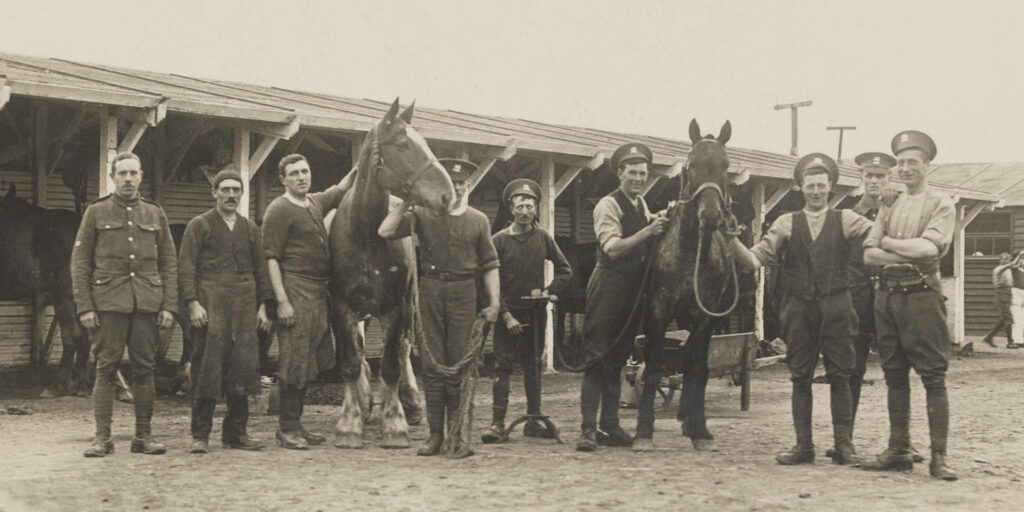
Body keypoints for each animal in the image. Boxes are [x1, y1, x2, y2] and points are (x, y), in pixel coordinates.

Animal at [329, 96, 454, 448]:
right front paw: (350, 422)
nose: (447, 195)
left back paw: (408, 403)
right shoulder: (341, 306)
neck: (364, 233)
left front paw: (395, 422)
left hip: (405, 305)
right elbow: (351, 361)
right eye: (403, 144)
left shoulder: (396, 306)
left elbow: (391, 365)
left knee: (401, 348)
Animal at [634, 119, 741, 452]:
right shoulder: (656, 313)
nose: (710, 215)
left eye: (726, 165)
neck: (690, 251)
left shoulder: (706, 318)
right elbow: (654, 368)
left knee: (691, 358)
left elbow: (698, 369)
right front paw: (643, 430)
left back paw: (687, 418)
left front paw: (700, 429)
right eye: (691, 165)